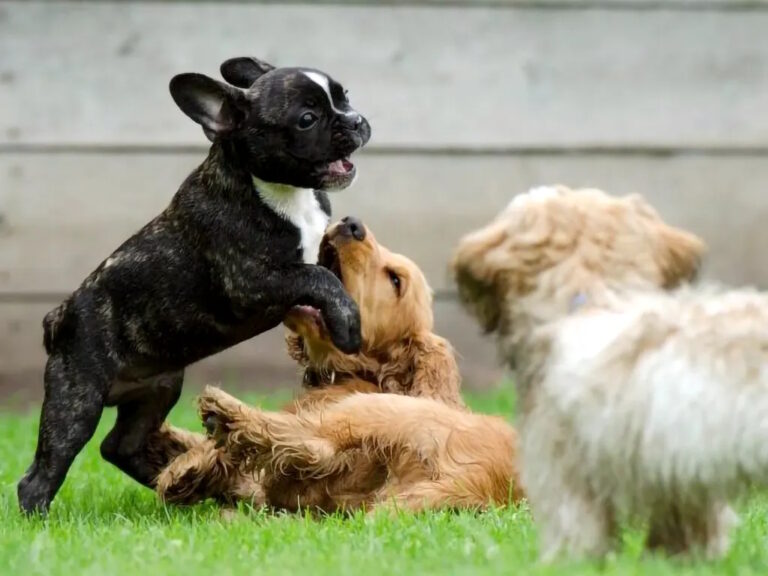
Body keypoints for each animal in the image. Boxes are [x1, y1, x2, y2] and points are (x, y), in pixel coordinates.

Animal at [17, 57, 371, 515]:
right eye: (307, 119)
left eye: (344, 97)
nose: (357, 119)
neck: (280, 190)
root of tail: (59, 316)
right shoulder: (252, 281)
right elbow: (317, 276)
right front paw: (348, 325)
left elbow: (328, 269)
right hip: (77, 399)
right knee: (44, 470)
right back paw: (41, 517)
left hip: (159, 389)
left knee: (120, 445)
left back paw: (179, 485)